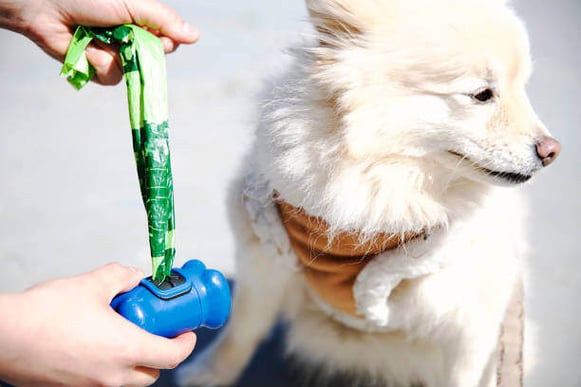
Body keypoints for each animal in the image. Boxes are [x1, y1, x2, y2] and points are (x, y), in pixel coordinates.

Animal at [178, 0, 560, 387]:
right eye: (482, 94)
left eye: (523, 89)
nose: (552, 151)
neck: (385, 184)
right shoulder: (265, 259)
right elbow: (242, 329)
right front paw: (210, 373)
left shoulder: (471, 320)